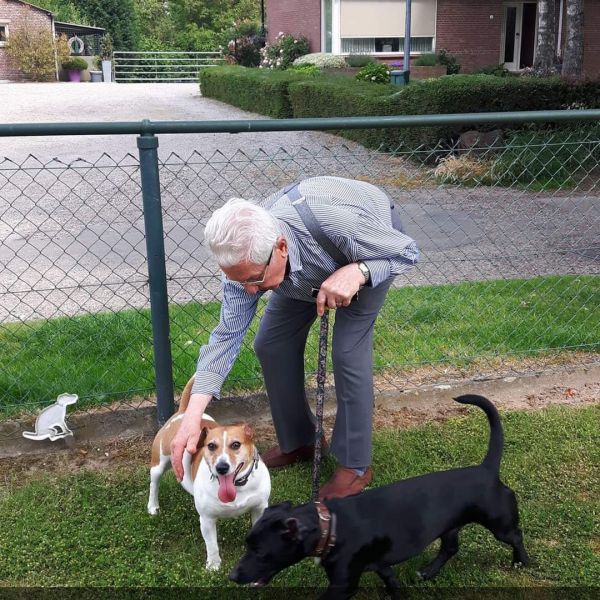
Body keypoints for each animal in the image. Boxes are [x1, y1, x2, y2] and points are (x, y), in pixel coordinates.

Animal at [146, 378, 270, 568]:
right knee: (154, 483)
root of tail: (182, 412)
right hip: (159, 462)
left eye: (236, 444)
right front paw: (213, 566)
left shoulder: (260, 508)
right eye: (211, 446)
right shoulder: (207, 519)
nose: (221, 467)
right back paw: (152, 506)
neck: (237, 487)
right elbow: (211, 544)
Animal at [227, 396, 528, 596]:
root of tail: (486, 468)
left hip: (499, 523)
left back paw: (521, 562)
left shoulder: (343, 585)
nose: (231, 575)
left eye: (261, 552)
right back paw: (428, 571)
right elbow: (393, 583)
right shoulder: (381, 566)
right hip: (449, 526)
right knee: (450, 548)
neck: (329, 524)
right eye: (246, 544)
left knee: (515, 536)